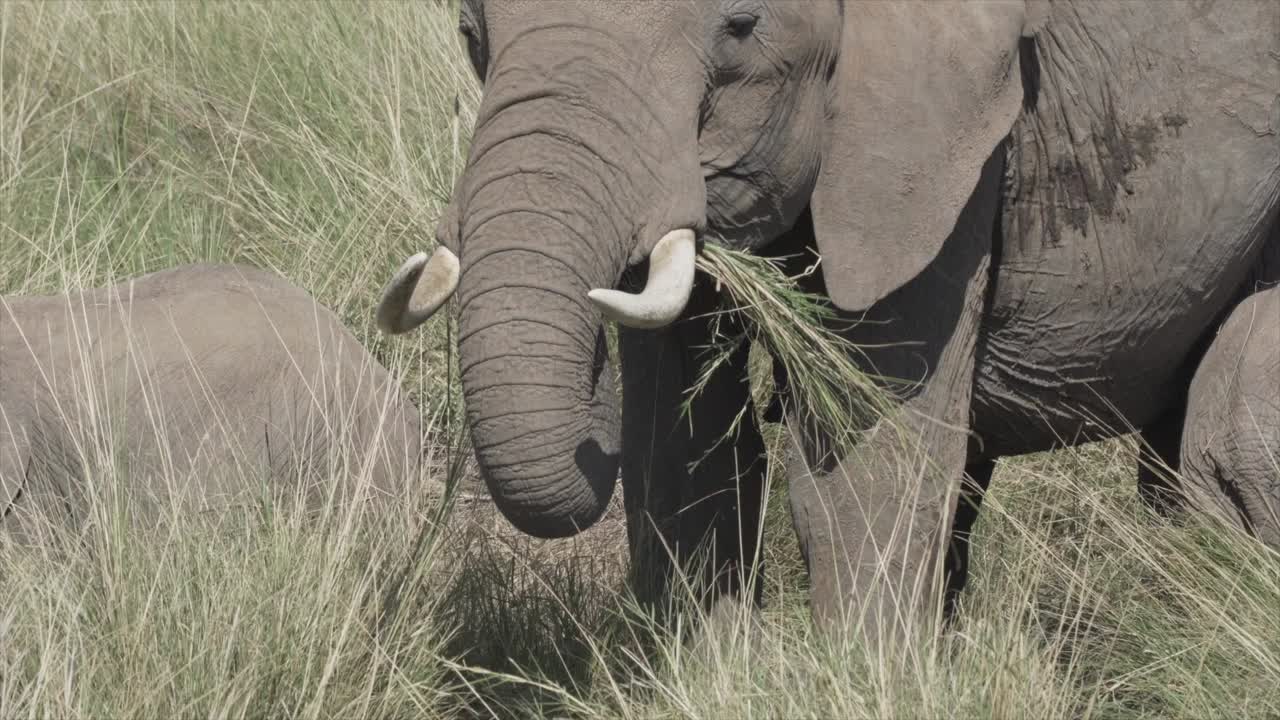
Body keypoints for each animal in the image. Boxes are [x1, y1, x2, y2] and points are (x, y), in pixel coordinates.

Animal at [376, 0, 1280, 641]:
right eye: (471, 34)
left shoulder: (938, 136)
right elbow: (684, 449)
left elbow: (862, 467)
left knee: (1226, 443)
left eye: (741, 28)